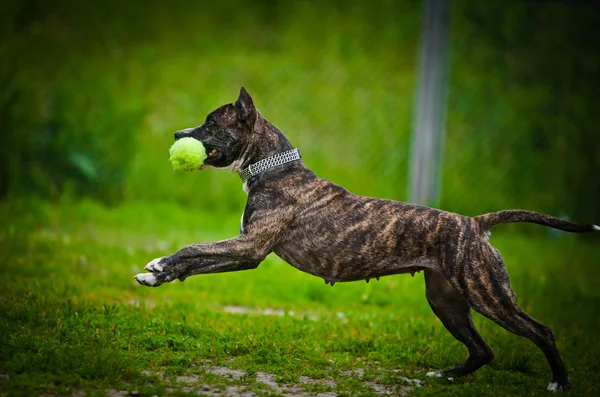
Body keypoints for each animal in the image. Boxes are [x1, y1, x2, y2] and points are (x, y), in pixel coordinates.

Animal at [136, 86, 600, 390]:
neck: (274, 168)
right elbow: (198, 260)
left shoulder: (250, 249)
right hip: (447, 300)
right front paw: (158, 275)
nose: (177, 136)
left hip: (488, 295)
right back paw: (445, 376)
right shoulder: (245, 251)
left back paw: (559, 382)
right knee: (482, 350)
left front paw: (158, 266)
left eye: (211, 123)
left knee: (541, 332)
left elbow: (193, 249)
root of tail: (474, 223)